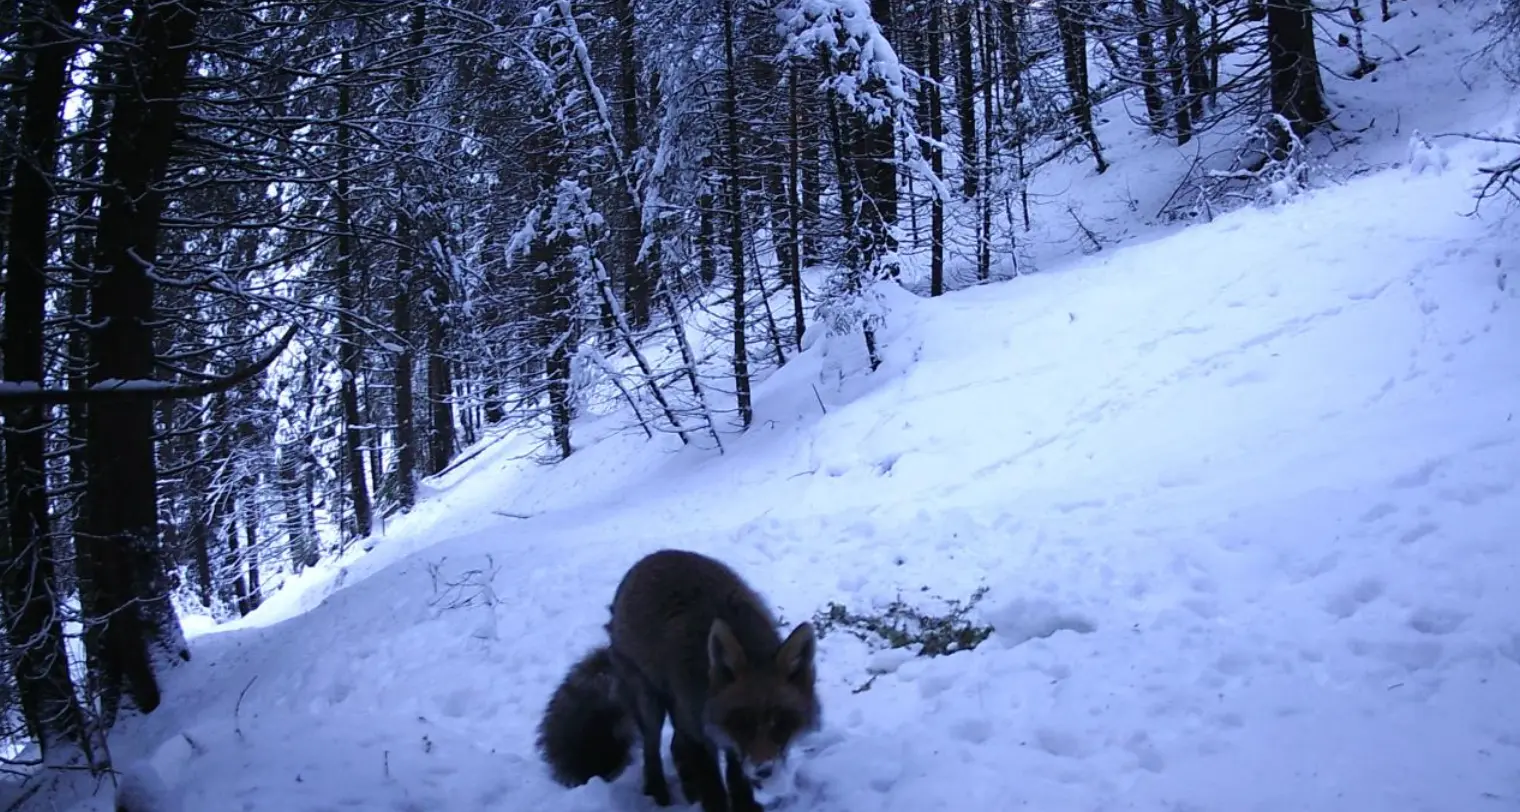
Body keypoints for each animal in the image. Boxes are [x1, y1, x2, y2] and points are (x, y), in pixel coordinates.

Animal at [536, 549, 820, 812]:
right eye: (742, 723)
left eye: (780, 721)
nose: (764, 771)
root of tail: (653, 556)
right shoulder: (700, 731)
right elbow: (715, 792)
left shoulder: (724, 740)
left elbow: (737, 783)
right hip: (651, 705)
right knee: (652, 751)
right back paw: (659, 794)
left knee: (675, 747)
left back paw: (689, 789)